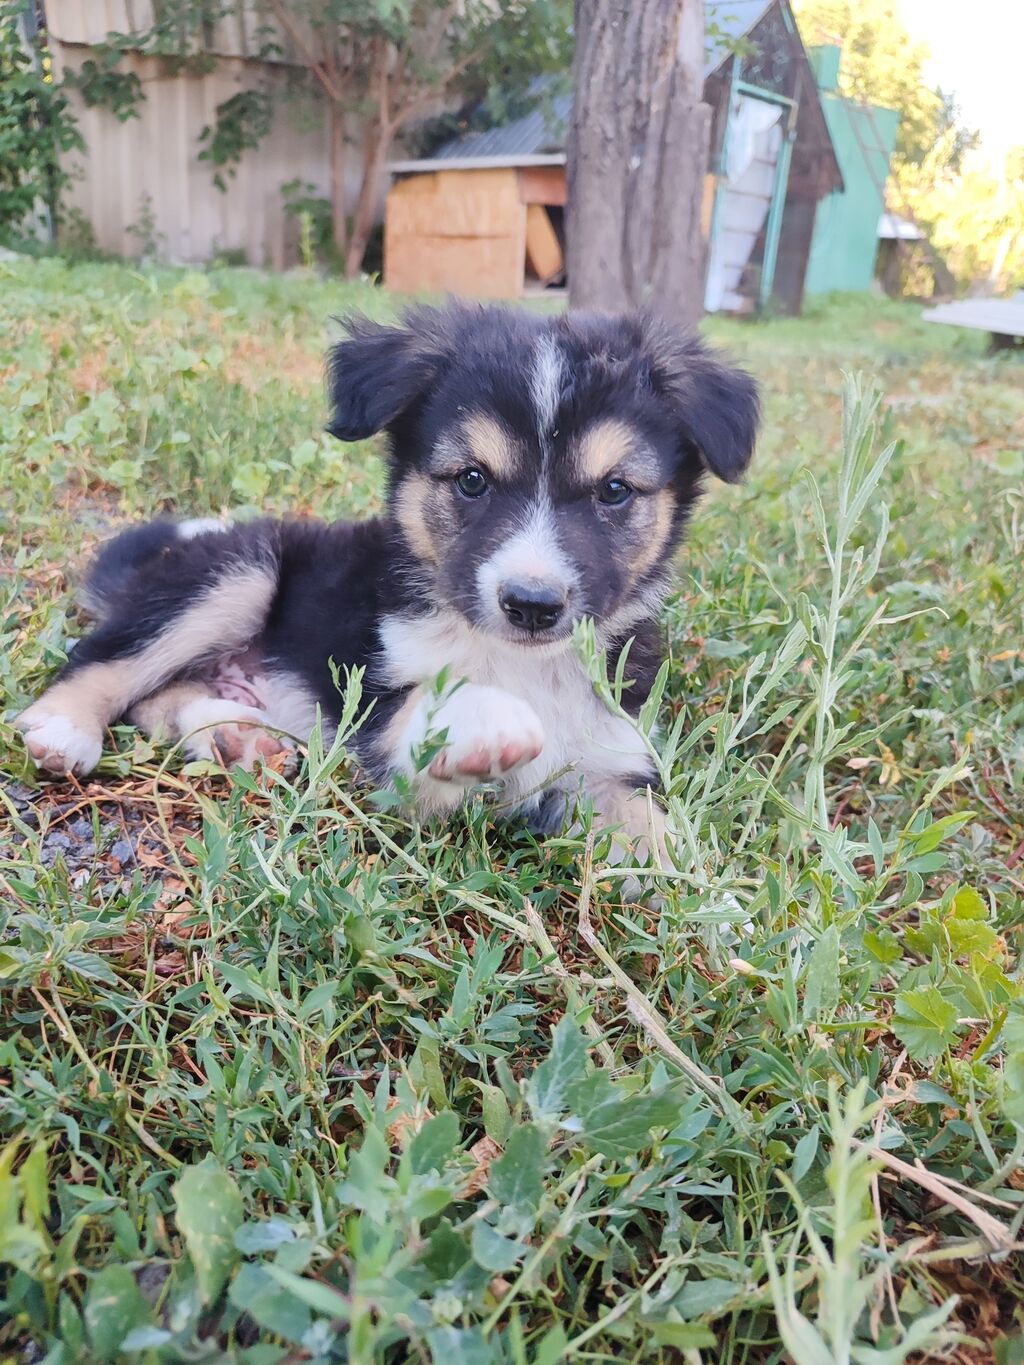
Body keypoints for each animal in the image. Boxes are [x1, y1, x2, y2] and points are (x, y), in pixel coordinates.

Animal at [12, 307, 759, 862]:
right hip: (239, 571)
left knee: (157, 699)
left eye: (614, 491)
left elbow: (660, 839)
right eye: (471, 479)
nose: (532, 605)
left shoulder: (608, 755)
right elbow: (425, 706)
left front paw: (721, 921)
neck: (523, 664)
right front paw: (487, 715)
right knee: (108, 659)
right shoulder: (381, 742)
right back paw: (63, 727)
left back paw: (238, 739)